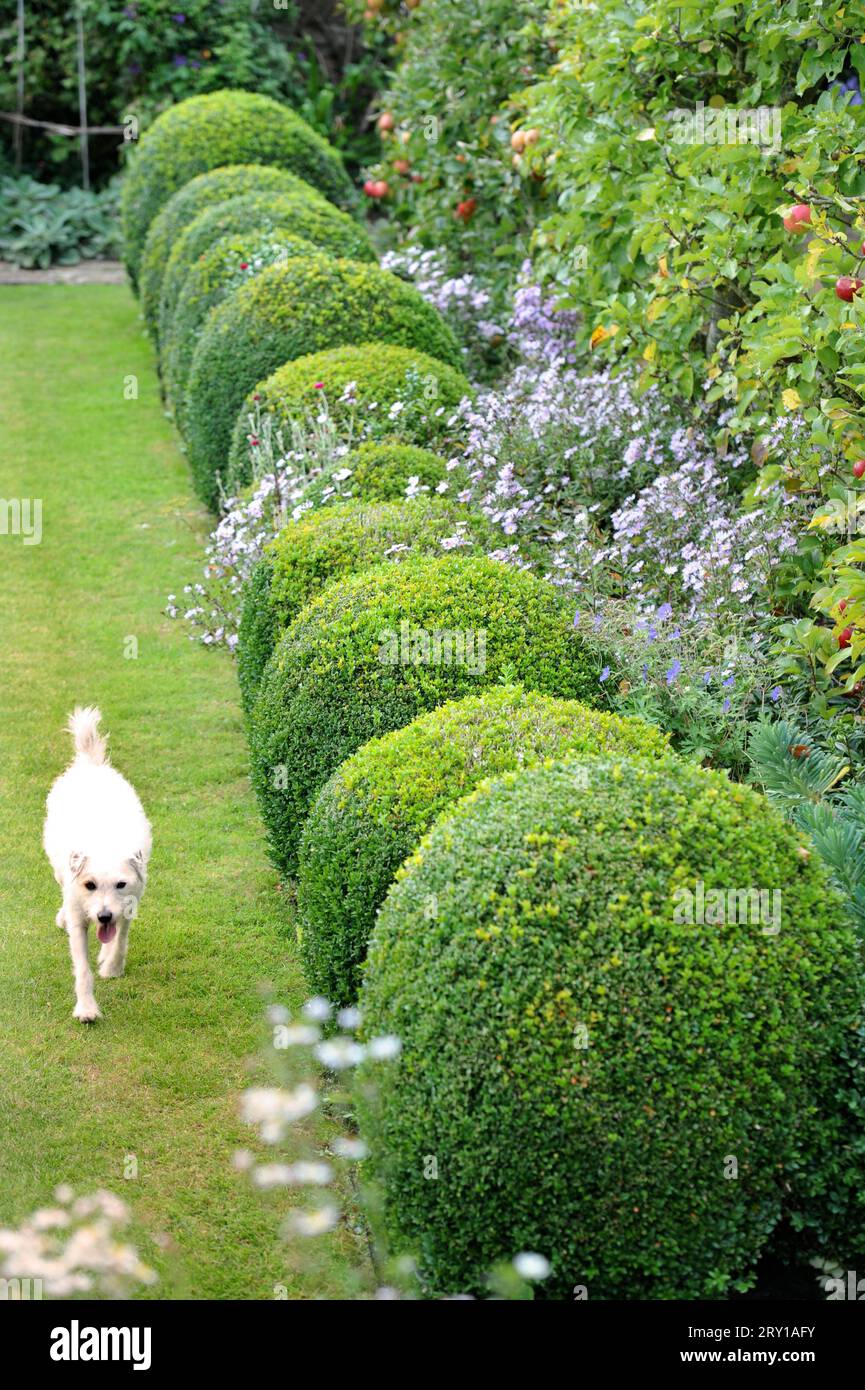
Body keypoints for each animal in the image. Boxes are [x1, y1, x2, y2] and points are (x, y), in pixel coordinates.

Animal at [43, 706, 152, 1023]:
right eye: (89, 884)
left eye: (120, 884)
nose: (103, 916)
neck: (105, 841)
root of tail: (91, 763)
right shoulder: (80, 918)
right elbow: (82, 968)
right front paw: (87, 1008)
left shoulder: (129, 902)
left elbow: (121, 939)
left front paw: (112, 966)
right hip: (59, 871)